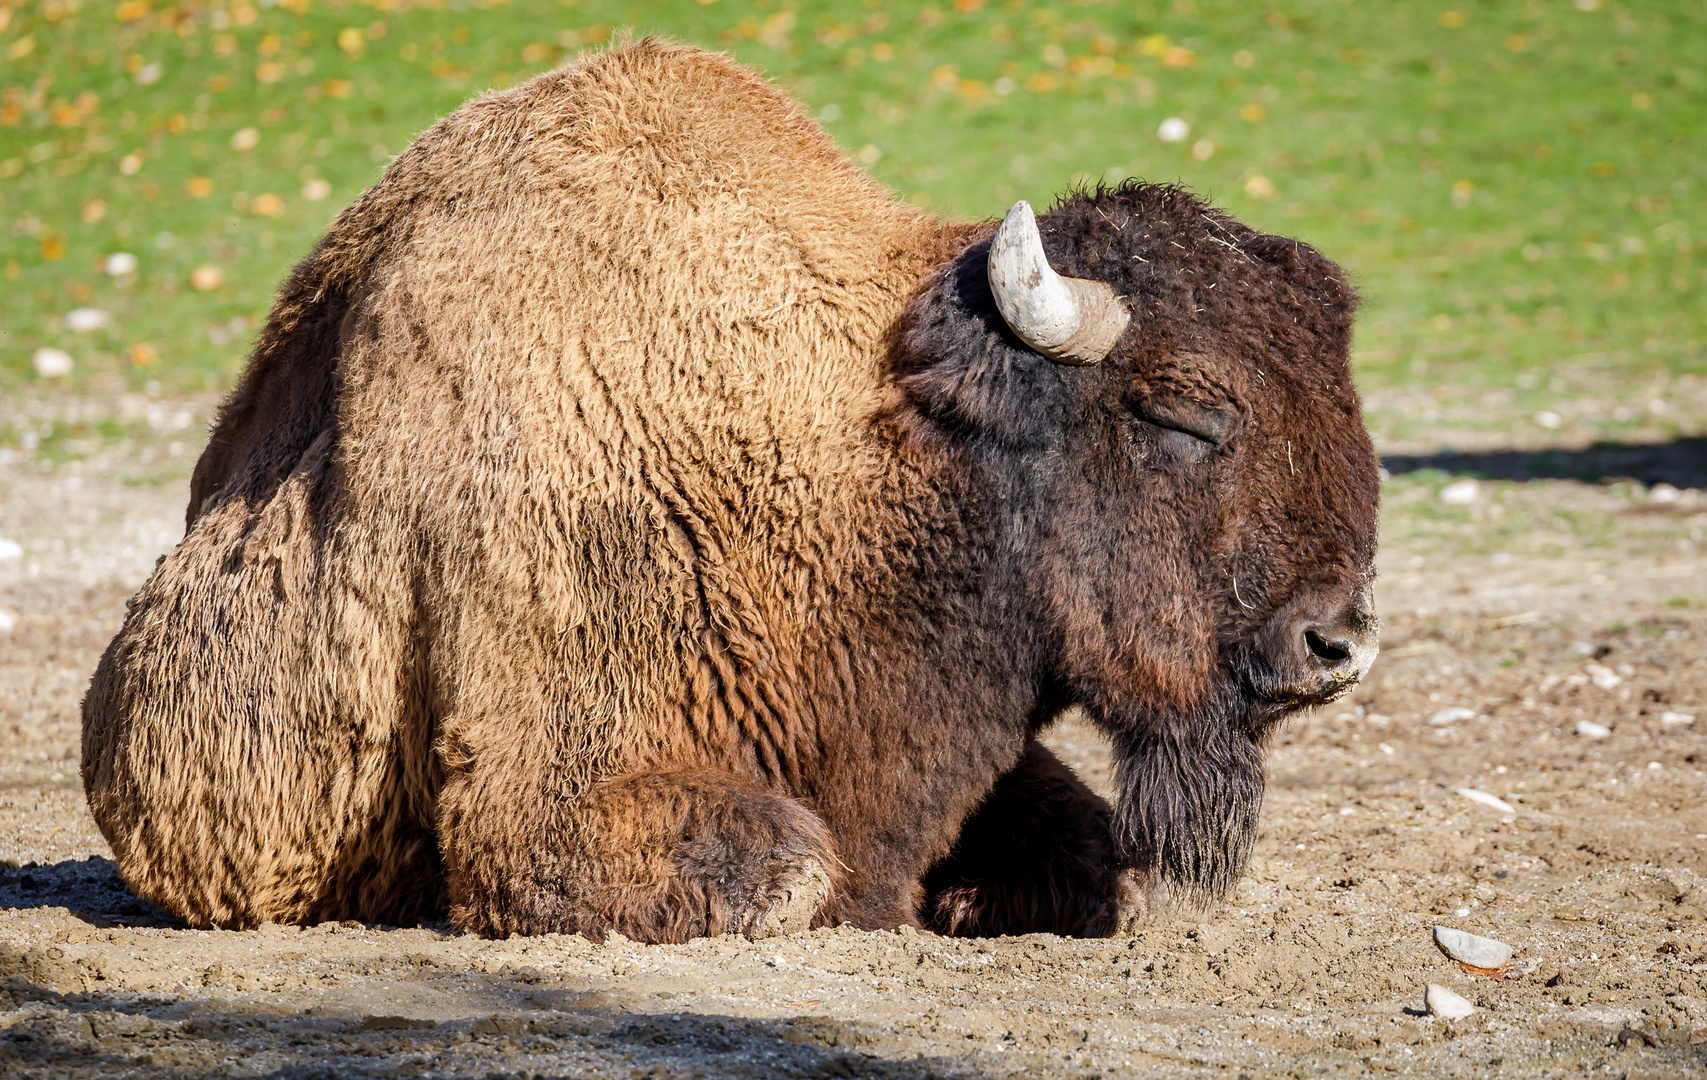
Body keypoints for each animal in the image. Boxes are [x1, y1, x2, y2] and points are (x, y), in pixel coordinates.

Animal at [83, 37, 1386, 941]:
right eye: (1182, 414)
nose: (1338, 642)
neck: (889, 451)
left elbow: (1078, 854)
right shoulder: (555, 787)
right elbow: (787, 871)